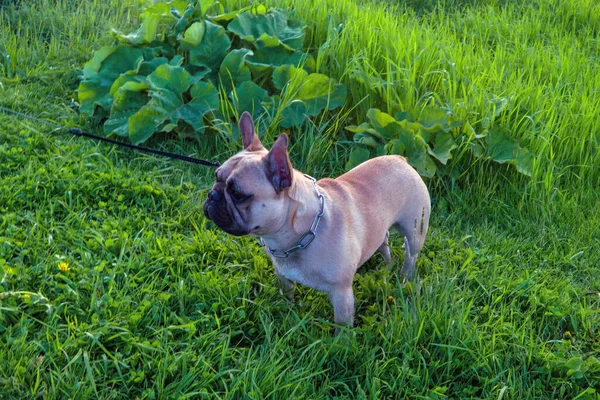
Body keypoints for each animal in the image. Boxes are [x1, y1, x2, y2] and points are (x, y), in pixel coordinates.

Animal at [204, 111, 428, 328]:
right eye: (215, 176)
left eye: (238, 194)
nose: (212, 195)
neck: (300, 233)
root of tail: (400, 159)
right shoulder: (283, 275)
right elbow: (287, 293)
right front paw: (288, 310)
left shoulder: (341, 293)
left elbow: (342, 325)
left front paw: (342, 340)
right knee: (384, 239)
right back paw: (388, 265)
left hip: (415, 231)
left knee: (410, 254)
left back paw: (405, 278)